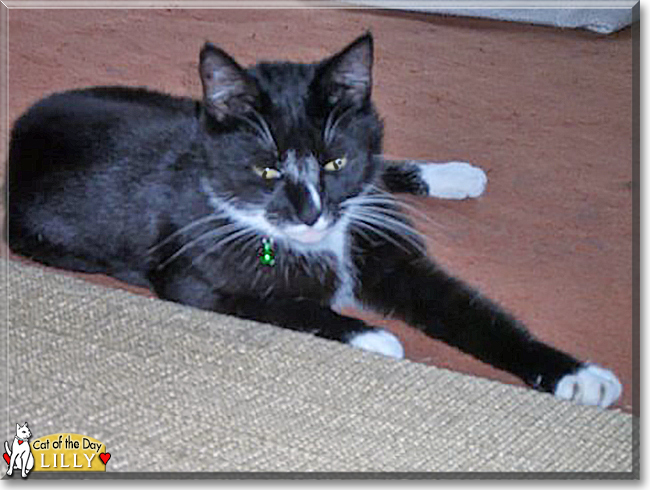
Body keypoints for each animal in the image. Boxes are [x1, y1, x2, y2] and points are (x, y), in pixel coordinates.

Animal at [7, 32, 620, 410]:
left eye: (334, 162)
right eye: (267, 168)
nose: (312, 213)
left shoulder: (384, 249)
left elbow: (474, 315)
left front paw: (578, 375)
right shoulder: (192, 277)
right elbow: (284, 306)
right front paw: (374, 335)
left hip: (176, 104)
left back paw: (454, 175)